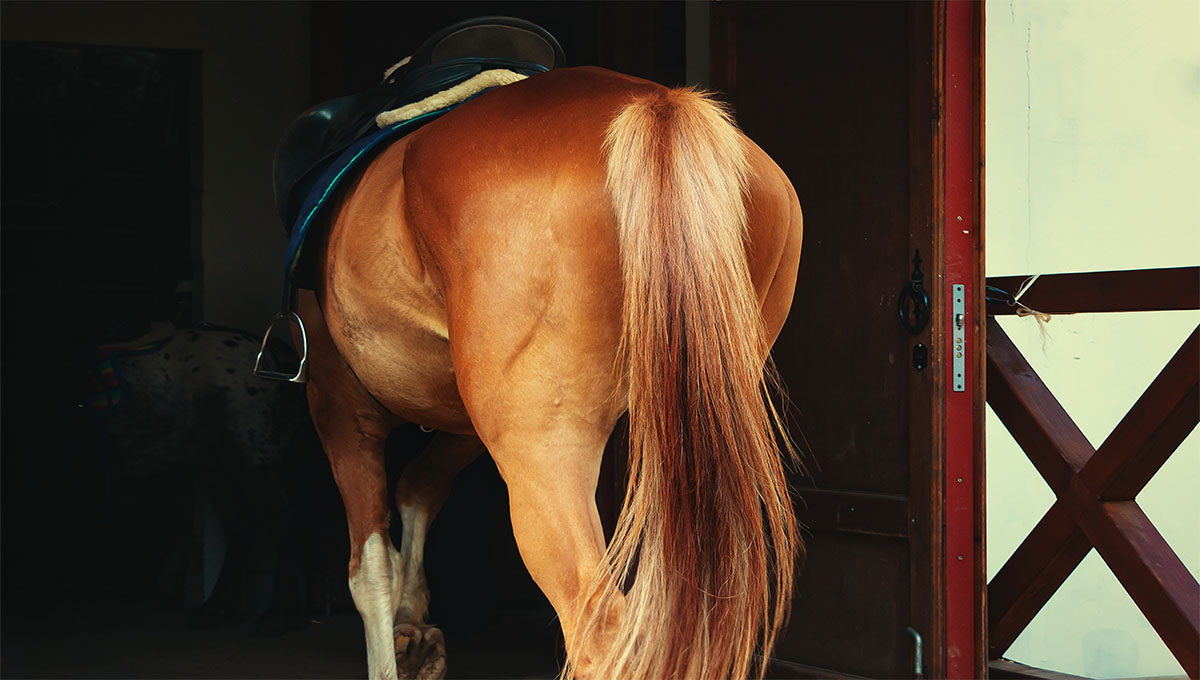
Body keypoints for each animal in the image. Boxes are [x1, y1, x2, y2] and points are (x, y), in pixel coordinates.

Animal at [293, 65, 804, 680]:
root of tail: (659, 106)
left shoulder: (340, 406)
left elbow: (370, 571)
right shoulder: (464, 423)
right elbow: (419, 488)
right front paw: (413, 629)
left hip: (542, 453)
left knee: (599, 627)